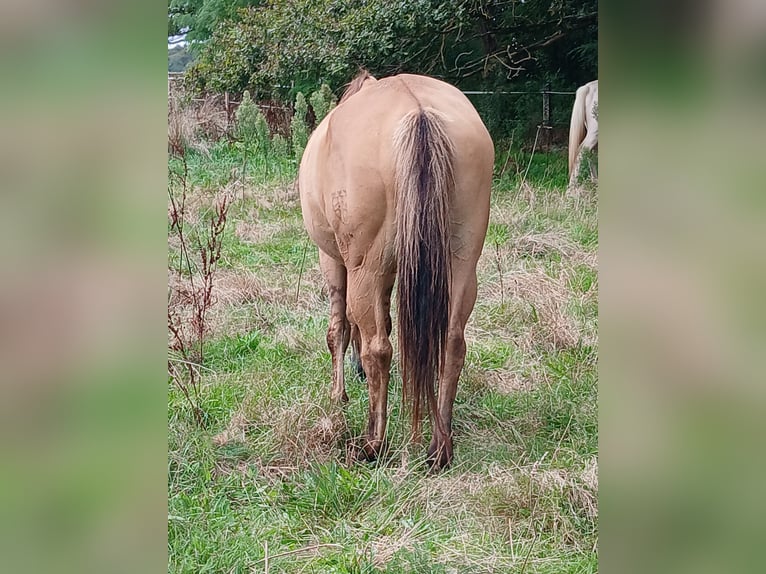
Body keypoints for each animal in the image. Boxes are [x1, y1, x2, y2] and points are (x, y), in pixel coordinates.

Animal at [296, 71, 496, 472]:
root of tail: (418, 112)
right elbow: (383, 322)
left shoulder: (334, 261)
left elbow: (339, 329)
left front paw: (338, 394)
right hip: (461, 267)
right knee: (453, 342)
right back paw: (439, 447)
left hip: (363, 271)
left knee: (378, 349)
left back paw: (373, 443)